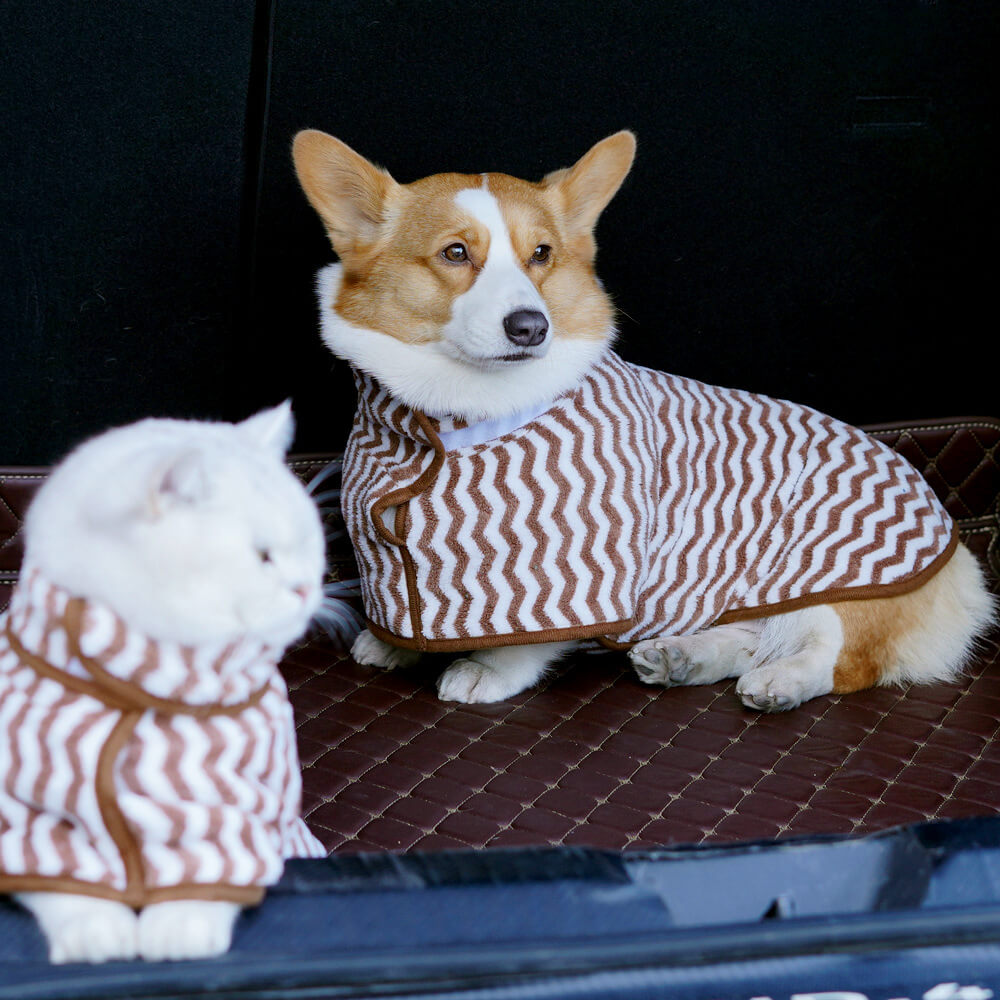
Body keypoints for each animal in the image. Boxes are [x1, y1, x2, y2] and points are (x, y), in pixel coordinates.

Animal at [0, 402, 328, 964]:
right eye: (263, 556)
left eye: (313, 547)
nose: (309, 587)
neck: (138, 684)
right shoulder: (30, 806)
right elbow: (63, 883)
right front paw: (93, 932)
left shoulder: (232, 800)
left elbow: (208, 873)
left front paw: (180, 931)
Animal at [292, 131, 992, 712]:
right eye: (455, 253)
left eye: (541, 254)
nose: (530, 326)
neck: (443, 417)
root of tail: (962, 562)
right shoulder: (393, 554)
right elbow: (415, 609)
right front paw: (394, 644)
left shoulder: (574, 569)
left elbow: (527, 635)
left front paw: (486, 670)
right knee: (756, 633)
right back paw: (686, 656)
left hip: (831, 579)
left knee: (838, 655)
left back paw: (782, 682)